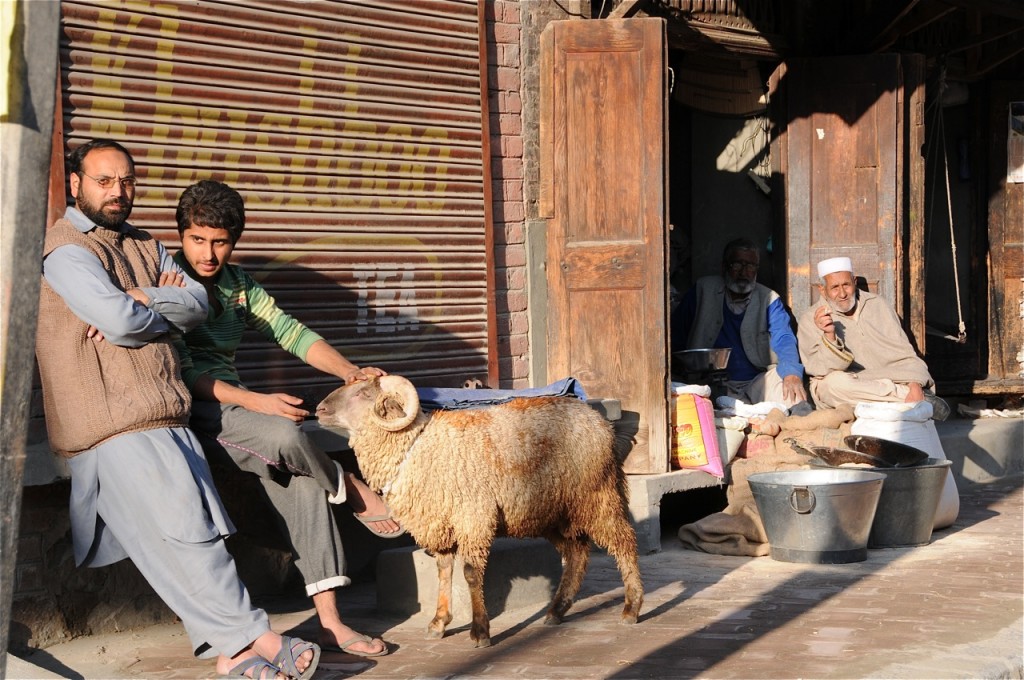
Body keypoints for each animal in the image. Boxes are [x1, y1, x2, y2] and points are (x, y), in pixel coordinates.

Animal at [315, 376, 643, 647]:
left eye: (363, 393)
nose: (319, 409)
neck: (416, 446)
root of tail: (599, 421)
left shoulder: (473, 517)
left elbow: (471, 573)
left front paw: (480, 631)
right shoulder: (440, 521)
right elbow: (443, 571)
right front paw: (439, 622)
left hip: (596, 495)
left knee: (624, 542)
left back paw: (631, 607)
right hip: (552, 510)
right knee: (577, 553)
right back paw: (557, 610)